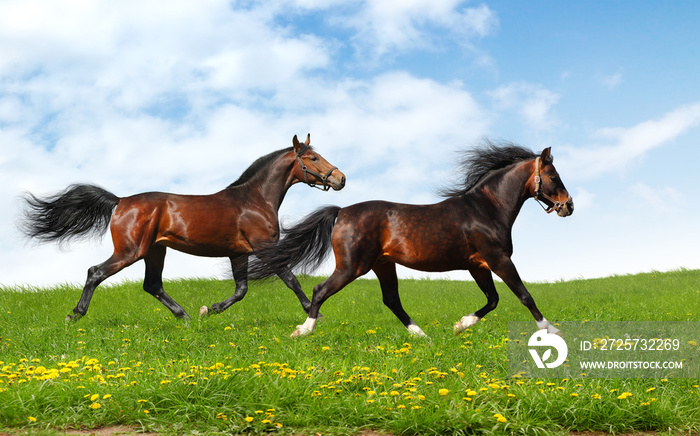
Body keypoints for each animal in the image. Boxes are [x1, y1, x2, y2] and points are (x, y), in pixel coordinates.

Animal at [23, 135, 346, 322]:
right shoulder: (265, 249)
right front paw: (314, 314)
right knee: (96, 272)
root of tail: (121, 201)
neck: (253, 199)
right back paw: (75, 315)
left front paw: (210, 310)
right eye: (313, 158)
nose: (341, 178)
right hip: (130, 251)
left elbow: (241, 290)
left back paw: (186, 317)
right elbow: (291, 280)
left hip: (155, 251)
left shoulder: (239, 254)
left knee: (152, 285)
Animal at [252, 141, 576, 338]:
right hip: (352, 267)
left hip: (382, 265)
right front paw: (553, 331)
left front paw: (460, 325)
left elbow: (493, 300)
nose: (569, 206)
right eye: (554, 177)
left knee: (392, 300)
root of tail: (341, 211)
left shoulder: (478, 265)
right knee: (320, 290)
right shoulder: (498, 259)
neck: (486, 208)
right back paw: (303, 330)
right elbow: (524, 295)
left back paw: (421, 335)